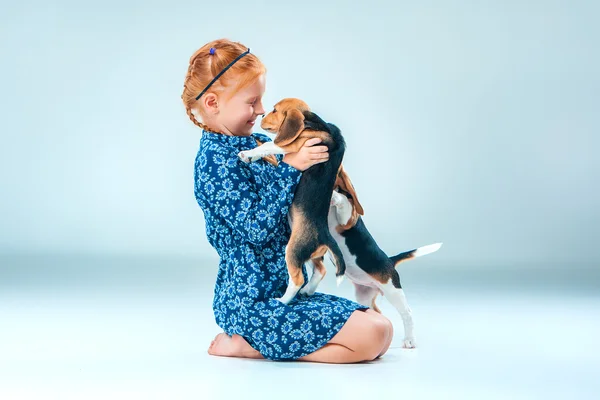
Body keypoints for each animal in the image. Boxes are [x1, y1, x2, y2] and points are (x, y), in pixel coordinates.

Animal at [238, 99, 346, 304]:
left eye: (274, 110)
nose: (262, 115)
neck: (311, 123)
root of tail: (325, 235)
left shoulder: (294, 145)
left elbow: (269, 144)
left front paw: (248, 153)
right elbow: (269, 146)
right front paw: (253, 154)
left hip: (294, 251)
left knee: (297, 279)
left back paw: (282, 301)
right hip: (312, 255)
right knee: (320, 270)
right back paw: (307, 291)